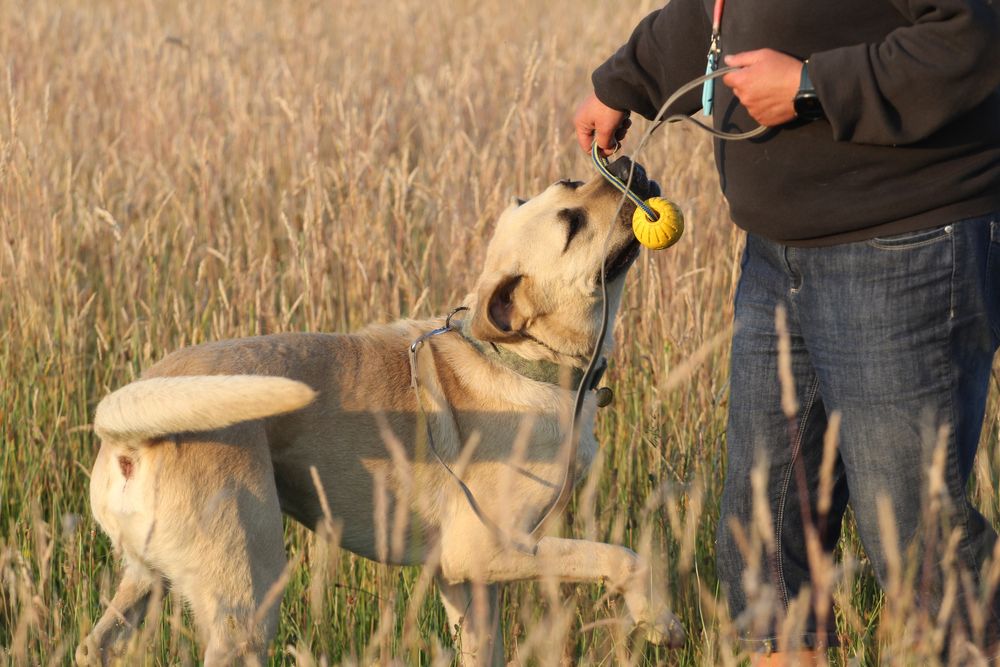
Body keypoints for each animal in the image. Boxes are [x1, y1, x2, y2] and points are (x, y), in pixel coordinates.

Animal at [78, 158, 684, 667]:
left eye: (571, 180)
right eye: (571, 222)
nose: (626, 163)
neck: (519, 359)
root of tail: (128, 430)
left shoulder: (465, 582)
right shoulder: (488, 549)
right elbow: (623, 556)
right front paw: (659, 620)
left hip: (146, 579)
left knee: (95, 645)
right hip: (247, 601)